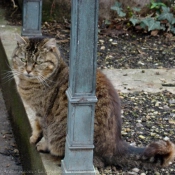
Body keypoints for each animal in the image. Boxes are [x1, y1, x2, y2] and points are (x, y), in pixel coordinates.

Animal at [11, 34, 174, 170]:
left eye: (38, 62)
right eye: (23, 60)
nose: (28, 70)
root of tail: (116, 146)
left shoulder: (43, 113)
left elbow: (43, 130)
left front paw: (41, 144)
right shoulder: (37, 112)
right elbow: (36, 126)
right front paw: (33, 137)